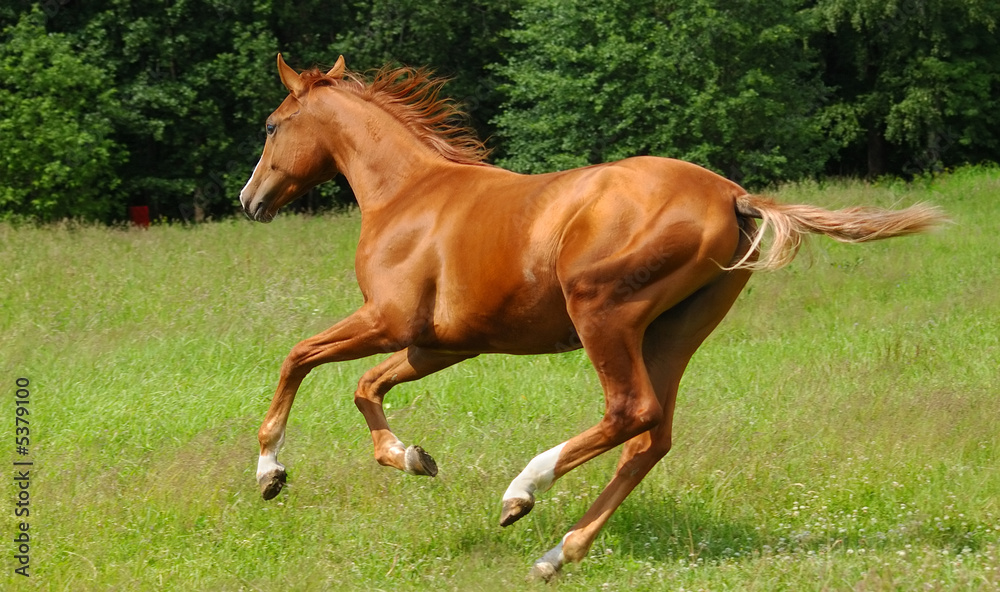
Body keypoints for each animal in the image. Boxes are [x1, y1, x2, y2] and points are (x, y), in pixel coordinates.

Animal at [239, 53, 946, 580]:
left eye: (272, 127)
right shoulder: (439, 344)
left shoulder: (387, 321)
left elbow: (298, 356)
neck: (409, 194)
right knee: (652, 436)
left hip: (601, 311)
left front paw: (271, 472)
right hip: (673, 333)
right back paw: (557, 554)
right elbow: (366, 388)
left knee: (630, 412)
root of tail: (734, 196)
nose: (250, 200)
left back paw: (523, 491)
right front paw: (411, 457)